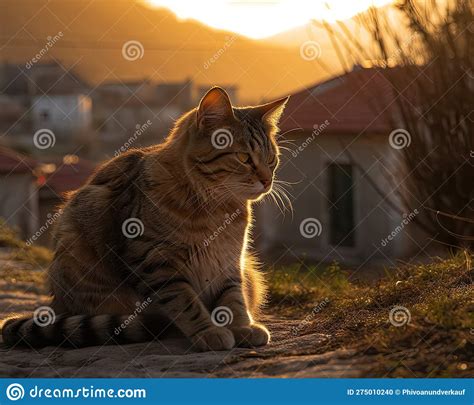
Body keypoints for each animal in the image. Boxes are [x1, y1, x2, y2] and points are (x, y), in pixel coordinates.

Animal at [2, 86, 288, 350]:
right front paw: (209, 331)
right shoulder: (154, 259)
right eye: (244, 158)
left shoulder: (229, 261)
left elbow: (233, 298)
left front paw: (241, 327)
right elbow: (185, 301)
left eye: (271, 159)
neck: (215, 209)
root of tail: (57, 305)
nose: (267, 181)